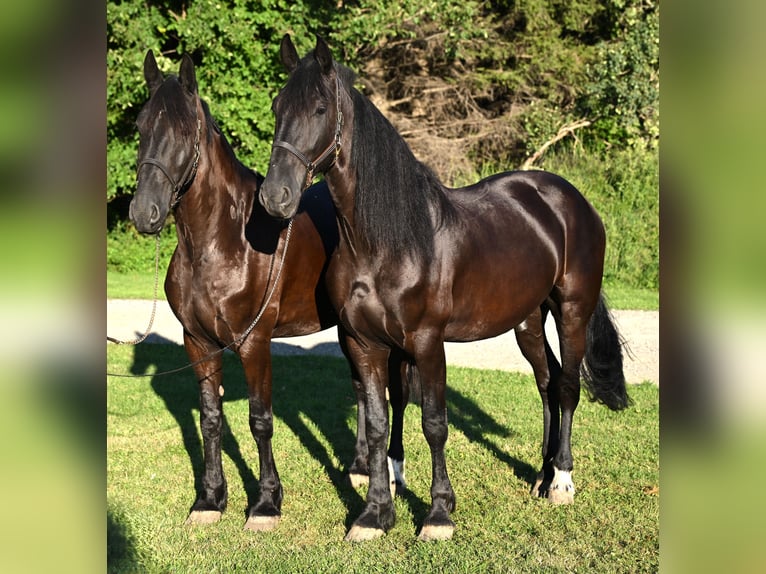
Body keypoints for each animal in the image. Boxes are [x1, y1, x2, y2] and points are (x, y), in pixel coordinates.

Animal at [127, 50, 407, 532]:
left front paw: (265, 503)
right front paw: (210, 500)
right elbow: (211, 419)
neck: (222, 241)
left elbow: (260, 420)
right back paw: (357, 467)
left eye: (183, 132)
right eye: (142, 127)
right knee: (359, 386)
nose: (144, 212)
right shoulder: (197, 342)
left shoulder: (254, 342)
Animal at [259, 35, 630, 542]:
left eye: (319, 108)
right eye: (277, 106)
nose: (274, 196)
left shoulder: (428, 343)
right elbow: (377, 424)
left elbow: (434, 423)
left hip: (571, 309)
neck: (385, 243)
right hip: (528, 321)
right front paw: (374, 514)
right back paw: (541, 474)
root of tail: (571, 200)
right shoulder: (364, 343)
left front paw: (438, 514)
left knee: (570, 386)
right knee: (548, 382)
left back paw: (562, 482)